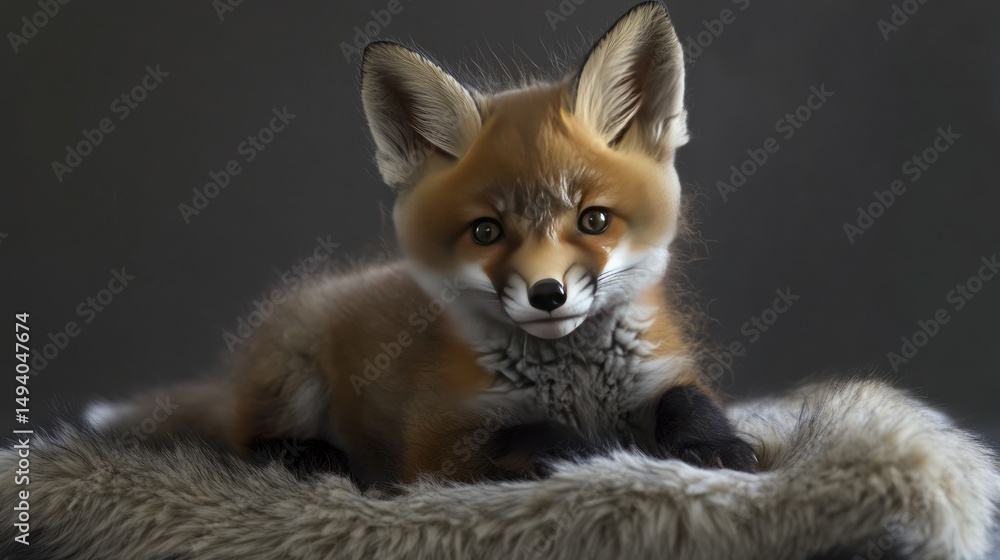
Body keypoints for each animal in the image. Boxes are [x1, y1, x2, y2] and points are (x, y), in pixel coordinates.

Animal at [86, 1, 758, 487]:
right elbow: (541, 437)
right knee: (244, 445)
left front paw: (719, 448)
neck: (575, 384)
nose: (548, 294)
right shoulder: (438, 445)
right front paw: (602, 452)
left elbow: (690, 404)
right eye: (485, 232)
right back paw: (311, 458)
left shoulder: (666, 368)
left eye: (594, 221)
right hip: (291, 376)